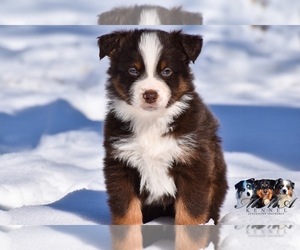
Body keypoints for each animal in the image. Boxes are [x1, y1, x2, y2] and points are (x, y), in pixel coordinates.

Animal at [98, 28, 227, 225]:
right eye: (133, 70)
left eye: (166, 71)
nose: (150, 95)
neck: (151, 122)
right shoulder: (120, 164)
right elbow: (127, 212)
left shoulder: (193, 164)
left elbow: (189, 213)